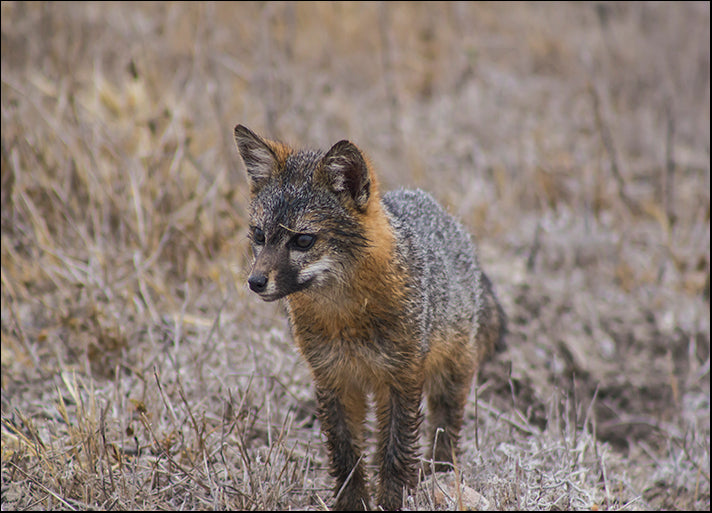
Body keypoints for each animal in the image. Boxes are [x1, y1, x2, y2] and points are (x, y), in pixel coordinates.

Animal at [234, 124, 506, 510]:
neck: (345, 319)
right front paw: (352, 501)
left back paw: (440, 475)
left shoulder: (402, 378)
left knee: (445, 430)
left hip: (449, 375)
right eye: (259, 236)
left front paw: (392, 500)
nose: (255, 282)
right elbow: (345, 451)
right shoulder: (333, 379)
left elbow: (397, 450)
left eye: (303, 241)